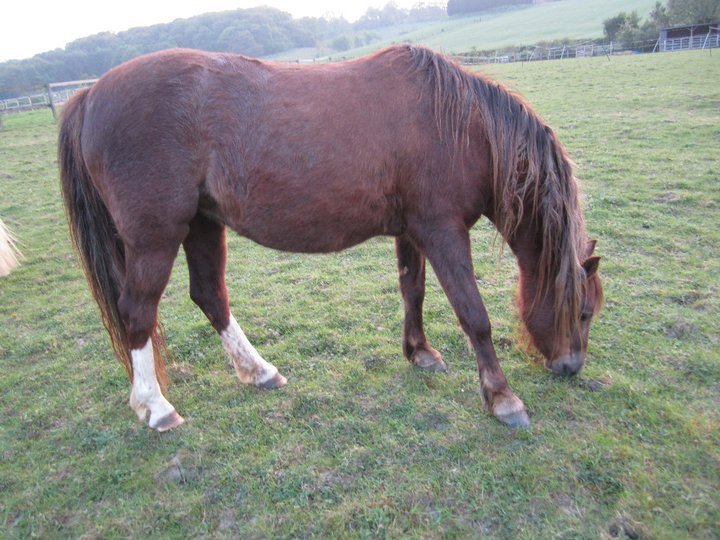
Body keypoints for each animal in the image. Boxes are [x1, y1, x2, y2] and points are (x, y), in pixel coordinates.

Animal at [58, 45, 603, 431]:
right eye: (583, 311)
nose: (571, 366)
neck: (460, 127)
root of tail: (90, 95)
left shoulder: (412, 231)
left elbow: (413, 291)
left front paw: (419, 352)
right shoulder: (442, 232)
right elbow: (475, 316)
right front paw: (502, 398)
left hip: (202, 225)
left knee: (210, 296)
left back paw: (259, 371)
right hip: (155, 238)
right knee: (137, 314)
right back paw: (155, 407)